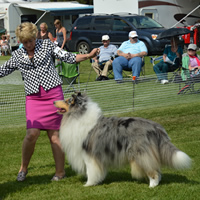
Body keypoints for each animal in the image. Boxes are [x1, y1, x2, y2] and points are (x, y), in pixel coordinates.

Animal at [54, 92, 191, 188]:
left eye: (67, 100)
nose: (54, 101)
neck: (77, 115)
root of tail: (155, 127)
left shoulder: (88, 154)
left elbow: (90, 171)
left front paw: (89, 184)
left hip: (141, 153)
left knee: (152, 170)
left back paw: (152, 185)